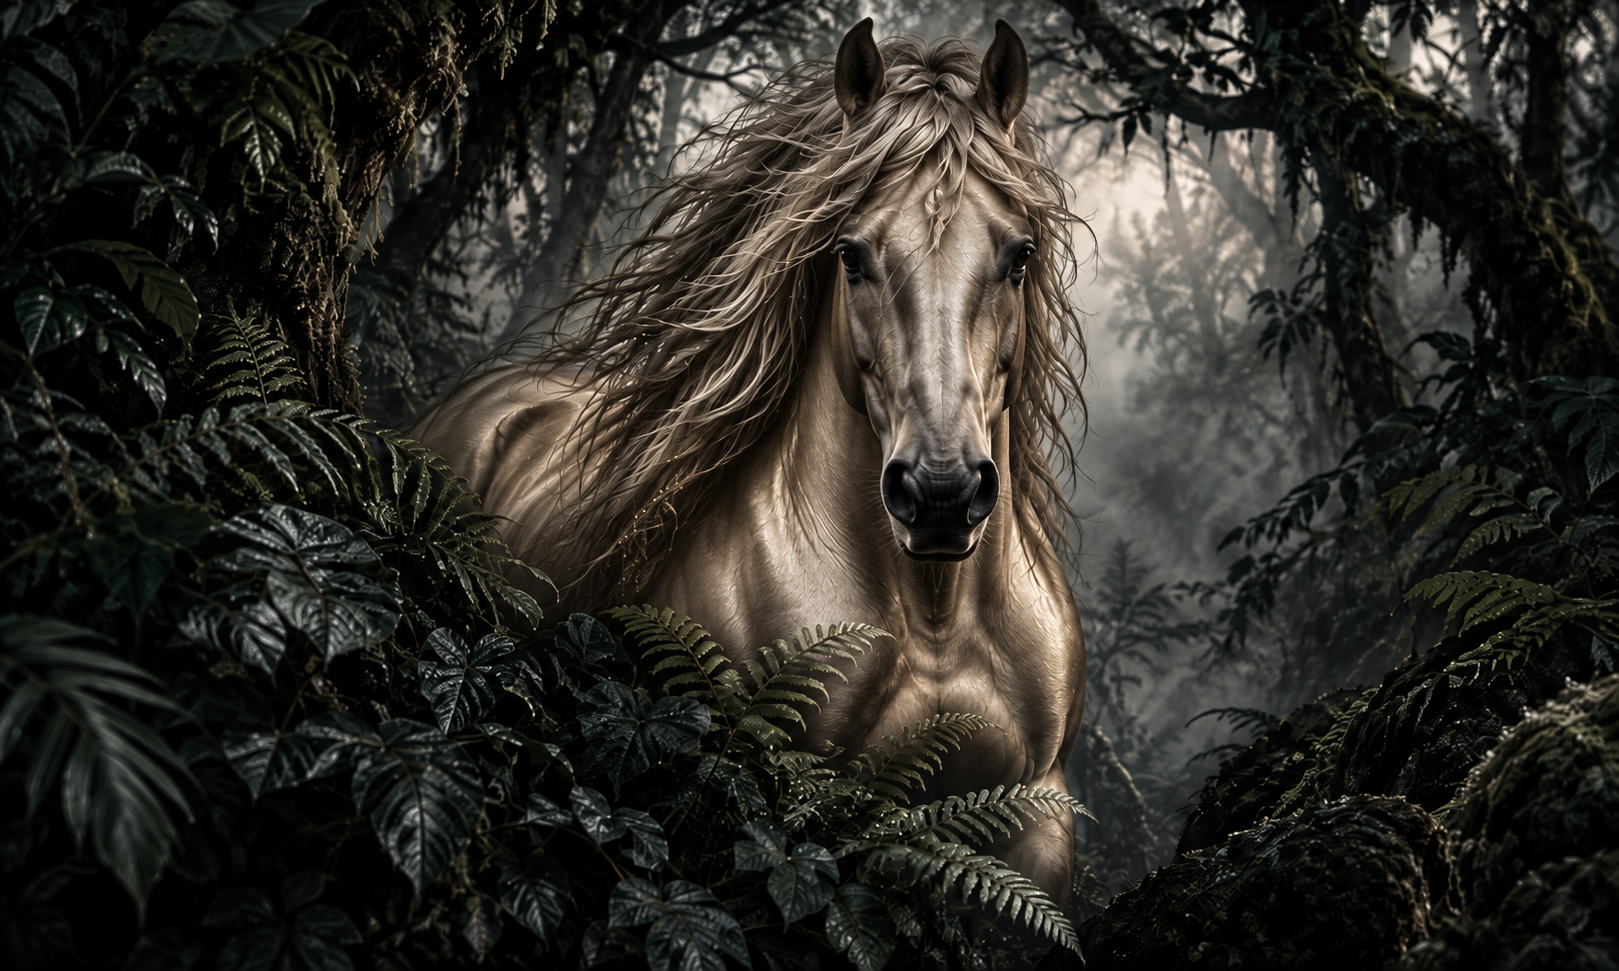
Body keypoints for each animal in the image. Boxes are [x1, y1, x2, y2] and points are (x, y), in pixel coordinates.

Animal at [411, 19, 1089, 906]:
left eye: (1018, 256)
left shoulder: (1032, 824)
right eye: (850, 254)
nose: (939, 492)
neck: (936, 616)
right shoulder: (766, 812)